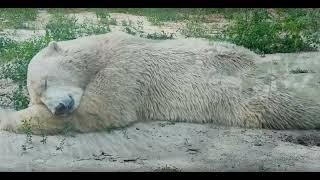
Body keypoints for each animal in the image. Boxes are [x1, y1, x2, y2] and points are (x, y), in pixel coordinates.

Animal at [0, 31, 320, 135]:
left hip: (244, 89)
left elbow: (100, 108)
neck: (99, 51)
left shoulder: (126, 65)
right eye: (38, 97)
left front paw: (6, 118)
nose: (59, 107)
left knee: (279, 102)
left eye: (44, 83)